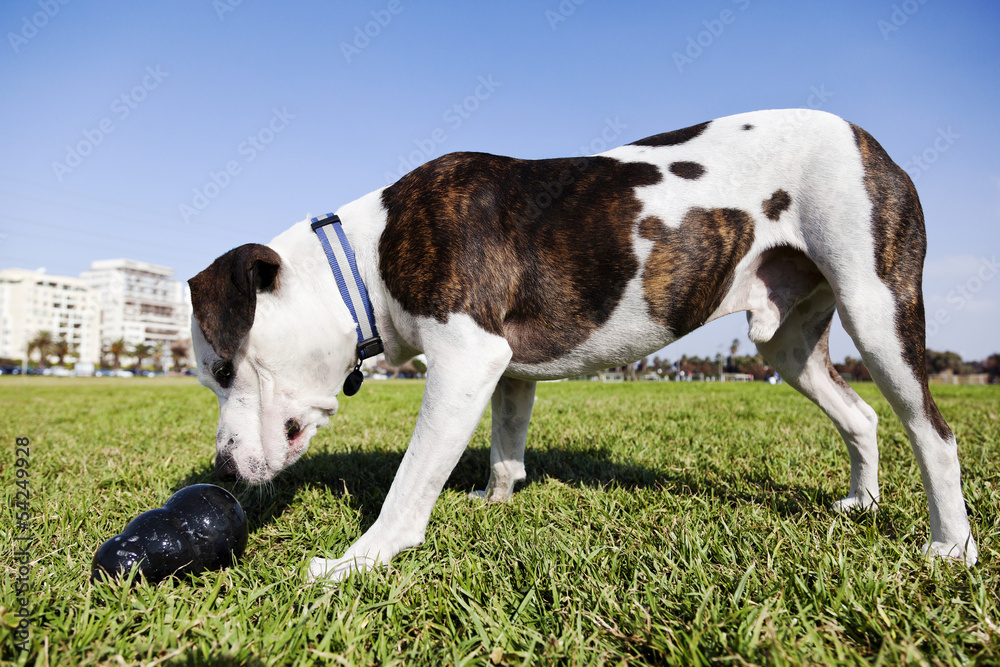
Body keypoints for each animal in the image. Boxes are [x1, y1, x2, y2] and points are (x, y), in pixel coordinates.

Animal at [188, 108, 976, 580]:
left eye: (223, 368)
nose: (221, 468)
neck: (366, 256)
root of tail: (871, 143)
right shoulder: (506, 370)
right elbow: (506, 445)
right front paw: (496, 500)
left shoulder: (466, 361)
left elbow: (410, 483)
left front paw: (360, 561)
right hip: (788, 343)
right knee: (862, 414)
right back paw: (863, 503)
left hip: (879, 310)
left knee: (934, 433)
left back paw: (952, 546)